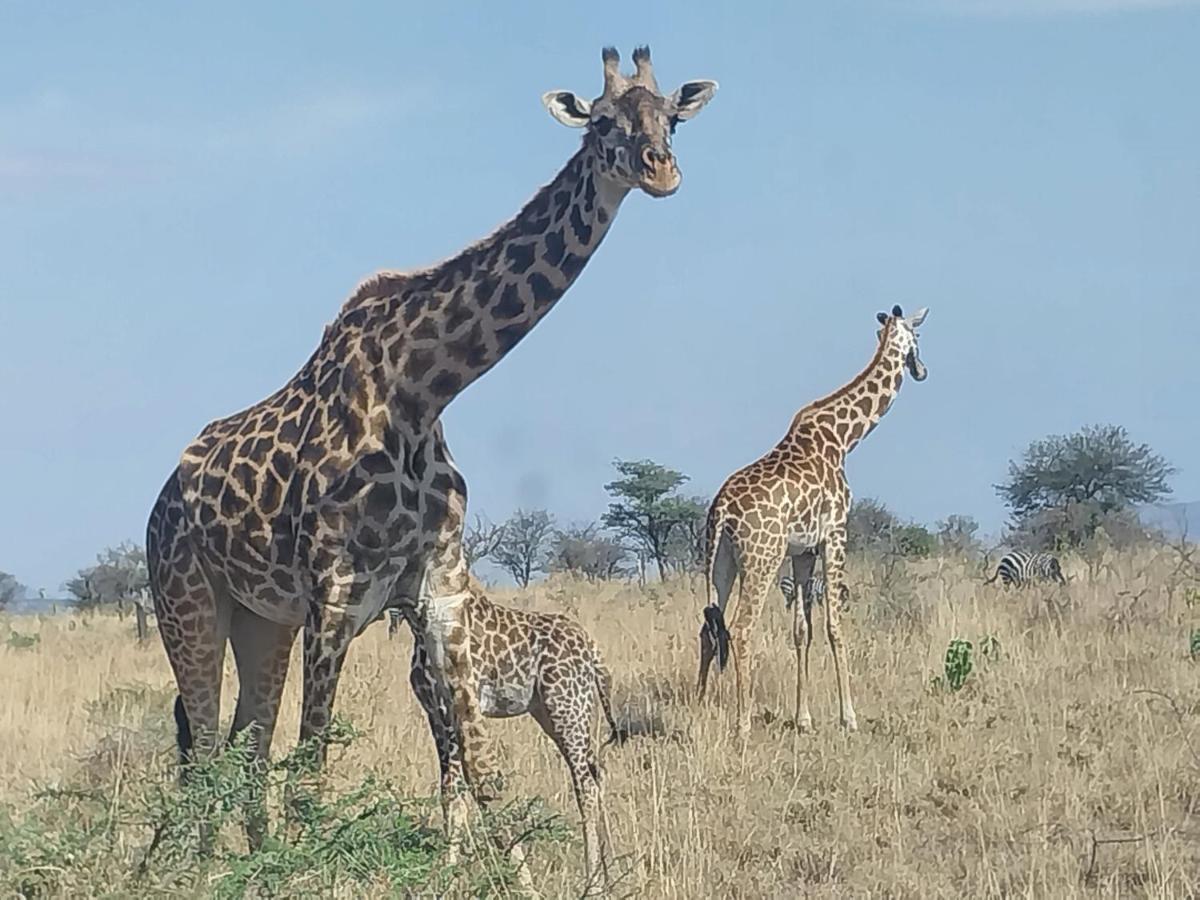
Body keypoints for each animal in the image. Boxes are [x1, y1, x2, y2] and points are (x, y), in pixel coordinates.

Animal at [146, 42, 715, 844]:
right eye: (602, 121)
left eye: (671, 118)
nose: (660, 169)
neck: (421, 390)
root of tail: (163, 499)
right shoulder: (335, 597)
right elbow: (313, 777)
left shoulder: (438, 589)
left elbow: (482, 772)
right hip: (187, 601)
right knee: (202, 756)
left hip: (262, 620)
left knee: (244, 752)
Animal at [400, 578, 619, 897]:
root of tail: (591, 647)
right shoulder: (434, 715)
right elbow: (450, 795)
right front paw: (446, 877)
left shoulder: (451, 711)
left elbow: (457, 792)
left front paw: (447, 881)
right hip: (555, 712)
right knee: (597, 775)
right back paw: (611, 873)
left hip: (567, 708)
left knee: (587, 788)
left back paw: (594, 886)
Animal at [696, 307, 926, 744]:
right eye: (919, 338)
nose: (922, 370)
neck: (844, 438)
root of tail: (723, 510)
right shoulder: (835, 534)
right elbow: (835, 625)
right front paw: (848, 718)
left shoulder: (802, 549)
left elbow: (802, 630)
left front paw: (803, 720)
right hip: (761, 559)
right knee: (741, 629)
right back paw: (742, 725)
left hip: (720, 563)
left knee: (708, 628)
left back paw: (696, 710)